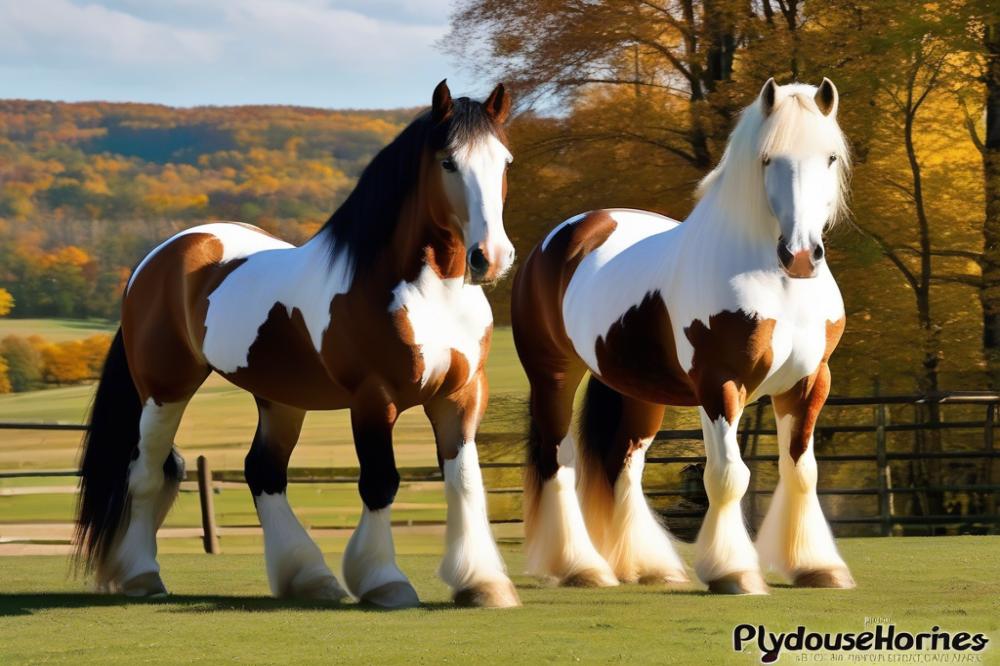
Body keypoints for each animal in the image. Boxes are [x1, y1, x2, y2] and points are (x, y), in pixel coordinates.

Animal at [74, 79, 520, 608]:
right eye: (448, 162)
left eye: (505, 162)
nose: (491, 257)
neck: (427, 293)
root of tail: (156, 259)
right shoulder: (374, 398)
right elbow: (380, 482)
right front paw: (385, 582)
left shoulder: (461, 394)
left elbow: (465, 480)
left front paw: (483, 583)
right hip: (164, 392)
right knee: (145, 474)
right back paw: (143, 575)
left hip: (280, 398)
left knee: (262, 473)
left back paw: (309, 578)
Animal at [516, 78, 852, 592]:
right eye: (767, 158)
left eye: (829, 156)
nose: (800, 255)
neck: (776, 282)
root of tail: (564, 236)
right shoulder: (720, 384)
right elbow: (728, 476)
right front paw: (734, 571)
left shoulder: (810, 382)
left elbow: (802, 471)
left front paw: (816, 566)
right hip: (552, 375)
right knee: (558, 461)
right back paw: (581, 568)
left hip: (639, 393)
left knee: (623, 465)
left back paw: (646, 567)